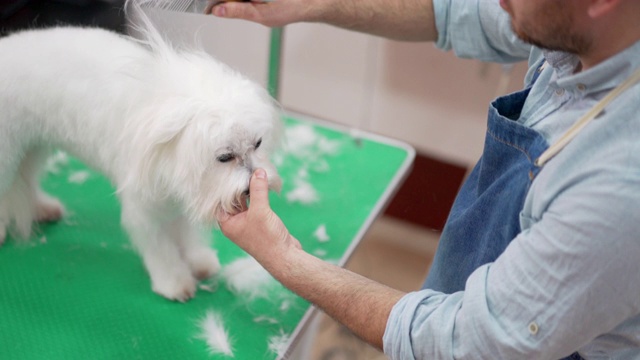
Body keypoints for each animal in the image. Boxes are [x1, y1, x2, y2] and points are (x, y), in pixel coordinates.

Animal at [0, 18, 282, 300]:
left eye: (257, 144)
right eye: (225, 157)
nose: (252, 187)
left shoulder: (180, 195)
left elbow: (186, 234)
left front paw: (198, 261)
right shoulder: (144, 207)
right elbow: (160, 248)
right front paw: (174, 282)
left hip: (31, 147)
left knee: (26, 180)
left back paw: (42, 208)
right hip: (8, 153)